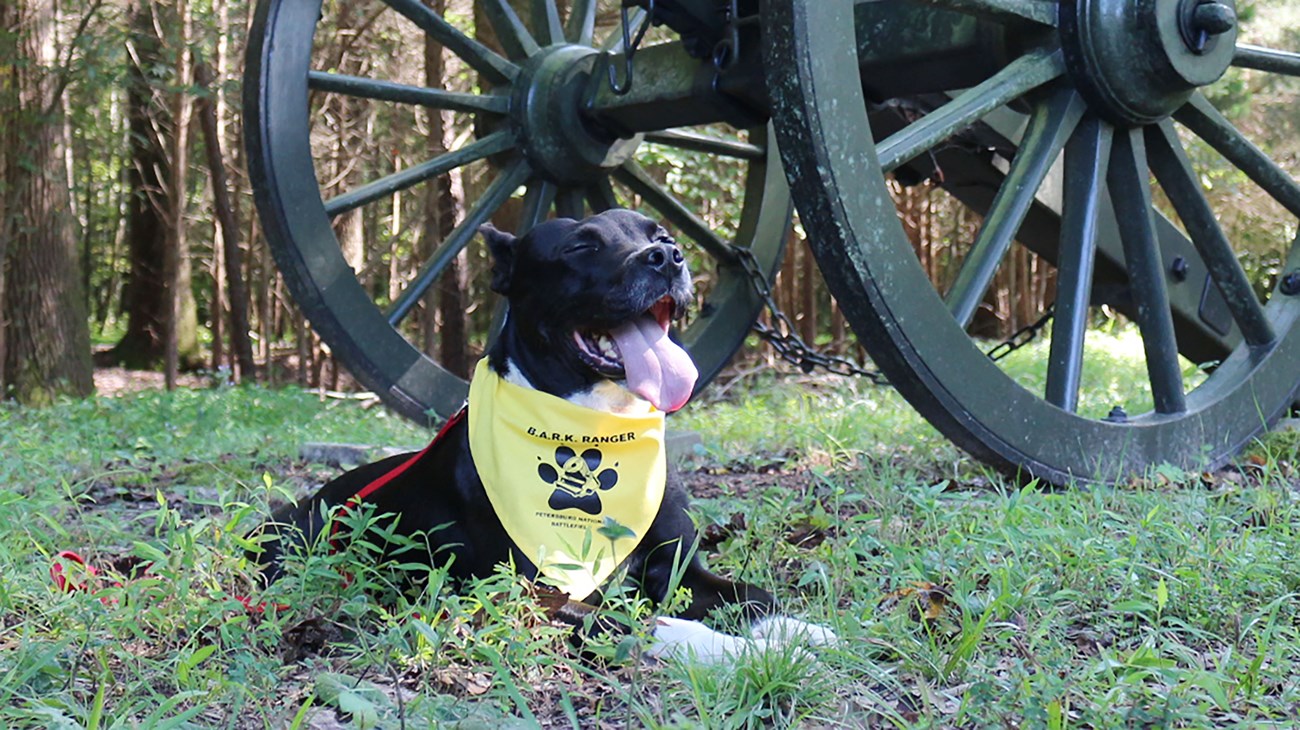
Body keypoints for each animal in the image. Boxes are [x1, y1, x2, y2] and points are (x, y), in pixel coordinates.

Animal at [250, 209, 832, 659]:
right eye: (581, 246)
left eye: (662, 235)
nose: (667, 258)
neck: (597, 428)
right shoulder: (532, 594)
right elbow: (647, 625)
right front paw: (739, 651)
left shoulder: (682, 569)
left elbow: (756, 597)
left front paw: (801, 631)